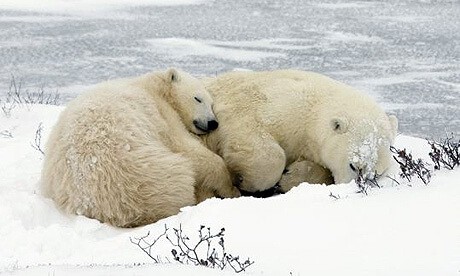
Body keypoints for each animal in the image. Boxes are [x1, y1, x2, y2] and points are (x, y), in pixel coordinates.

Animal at [41, 68, 241, 227]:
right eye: (198, 98)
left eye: (212, 103)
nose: (213, 123)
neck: (150, 86)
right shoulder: (161, 113)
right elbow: (186, 148)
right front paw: (231, 187)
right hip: (157, 174)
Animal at [202, 70, 398, 193]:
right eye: (354, 166)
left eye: (377, 174)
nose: (357, 188)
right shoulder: (270, 106)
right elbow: (258, 144)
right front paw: (246, 181)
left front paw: (289, 177)